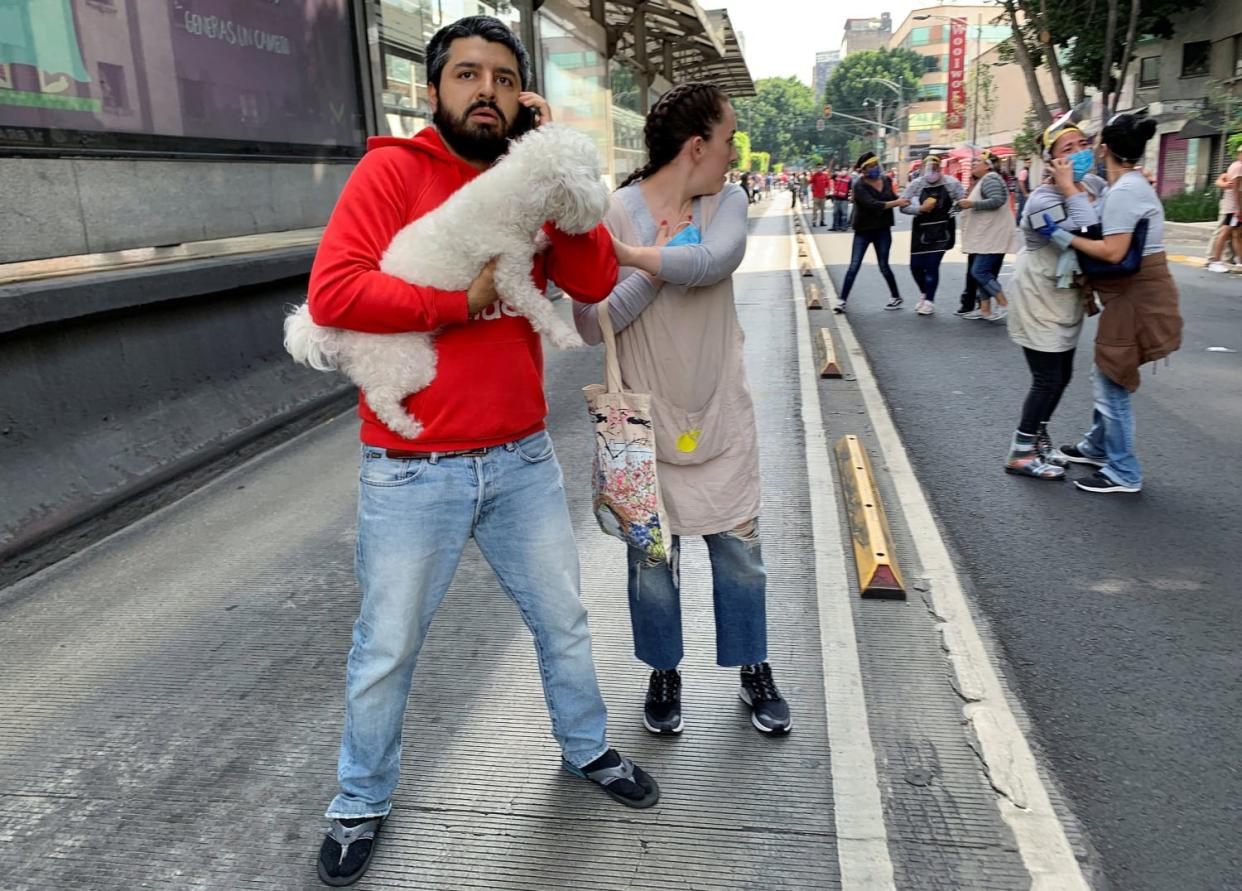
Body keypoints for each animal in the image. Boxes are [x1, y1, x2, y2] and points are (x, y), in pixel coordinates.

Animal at [283, 126, 611, 442]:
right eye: (594, 173)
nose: (607, 194)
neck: (514, 195)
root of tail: (337, 333)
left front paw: (542, 240)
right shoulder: (509, 276)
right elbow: (540, 307)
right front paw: (564, 336)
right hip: (408, 363)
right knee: (381, 398)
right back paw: (408, 428)